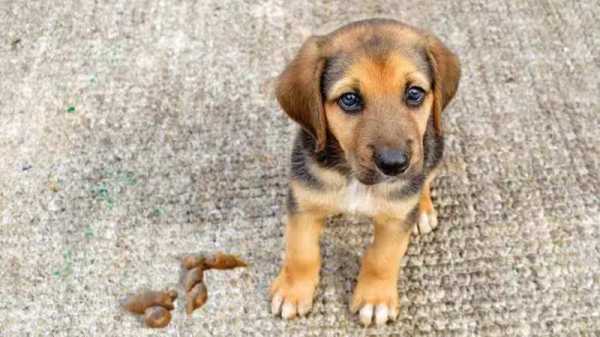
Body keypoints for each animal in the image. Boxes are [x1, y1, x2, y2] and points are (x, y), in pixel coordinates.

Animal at [270, 19, 462, 326]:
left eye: (414, 93)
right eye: (349, 99)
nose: (395, 165)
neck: (354, 179)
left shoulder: (395, 220)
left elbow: (382, 259)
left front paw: (375, 299)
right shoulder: (303, 204)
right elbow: (301, 252)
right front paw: (293, 291)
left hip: (434, 149)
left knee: (425, 181)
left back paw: (422, 210)